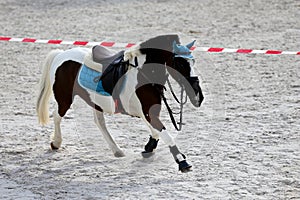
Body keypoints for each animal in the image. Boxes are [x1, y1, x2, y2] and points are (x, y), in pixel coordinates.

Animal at [35, 34, 204, 172]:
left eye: (193, 61)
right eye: (181, 64)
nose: (198, 96)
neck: (143, 74)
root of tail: (61, 54)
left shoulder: (146, 112)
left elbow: (156, 132)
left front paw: (148, 148)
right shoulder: (147, 112)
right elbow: (166, 135)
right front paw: (182, 162)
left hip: (94, 102)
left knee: (99, 122)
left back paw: (117, 150)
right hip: (64, 99)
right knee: (57, 116)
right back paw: (56, 142)